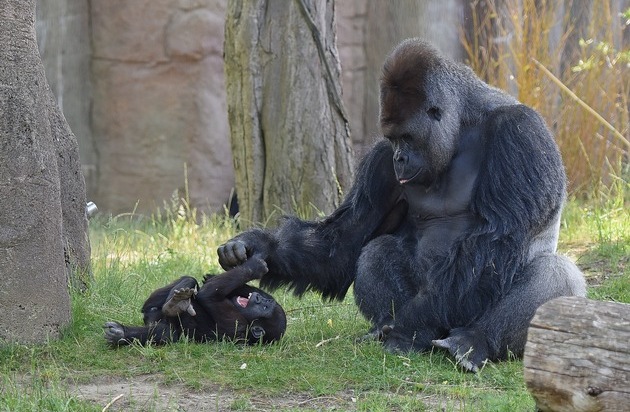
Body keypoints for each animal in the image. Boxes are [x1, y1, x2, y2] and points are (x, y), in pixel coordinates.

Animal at [105, 256, 288, 346]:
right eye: (265, 302)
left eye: (264, 308)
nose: (258, 298)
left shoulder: (239, 324)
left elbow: (208, 295)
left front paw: (254, 266)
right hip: (152, 312)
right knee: (188, 281)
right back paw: (174, 302)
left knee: (165, 333)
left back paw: (121, 333)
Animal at [217, 40, 588, 372]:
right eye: (393, 139)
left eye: (407, 138)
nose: (400, 158)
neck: (463, 125)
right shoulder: (380, 162)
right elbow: (345, 239)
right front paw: (259, 245)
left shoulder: (520, 134)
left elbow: (497, 238)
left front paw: (410, 326)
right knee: (375, 250)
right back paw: (384, 328)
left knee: (556, 274)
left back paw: (469, 340)